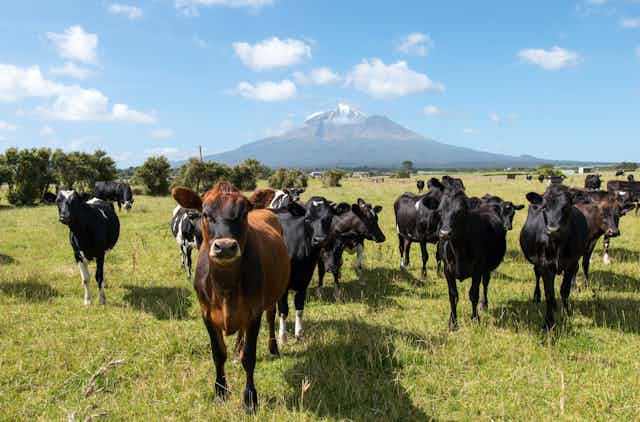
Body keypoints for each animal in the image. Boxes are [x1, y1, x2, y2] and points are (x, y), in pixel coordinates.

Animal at [171, 182, 290, 414]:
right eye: (205, 214)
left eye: (243, 214)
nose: (225, 246)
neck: (225, 288)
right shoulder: (206, 314)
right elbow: (218, 354)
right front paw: (220, 391)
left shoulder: (254, 313)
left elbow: (249, 358)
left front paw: (250, 399)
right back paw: (236, 351)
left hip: (272, 297)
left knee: (271, 317)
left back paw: (272, 348)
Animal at [274, 197, 337, 342]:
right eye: (307, 218)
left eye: (329, 218)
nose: (320, 239)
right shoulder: (282, 284)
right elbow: (283, 310)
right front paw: (283, 337)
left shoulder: (304, 280)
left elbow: (299, 308)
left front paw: (299, 333)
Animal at [422, 188, 507, 329]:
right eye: (439, 212)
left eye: (460, 212)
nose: (444, 233)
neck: (458, 250)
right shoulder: (447, 270)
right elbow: (453, 295)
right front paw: (453, 322)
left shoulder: (477, 270)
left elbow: (473, 294)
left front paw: (475, 319)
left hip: (487, 268)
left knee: (485, 283)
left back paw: (484, 305)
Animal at [520, 185, 588, 330]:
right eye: (544, 207)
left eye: (566, 207)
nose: (552, 229)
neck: (557, 245)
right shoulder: (545, 266)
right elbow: (549, 294)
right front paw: (548, 323)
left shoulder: (571, 264)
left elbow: (565, 291)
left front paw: (566, 313)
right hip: (537, 263)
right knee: (537, 274)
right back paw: (537, 297)